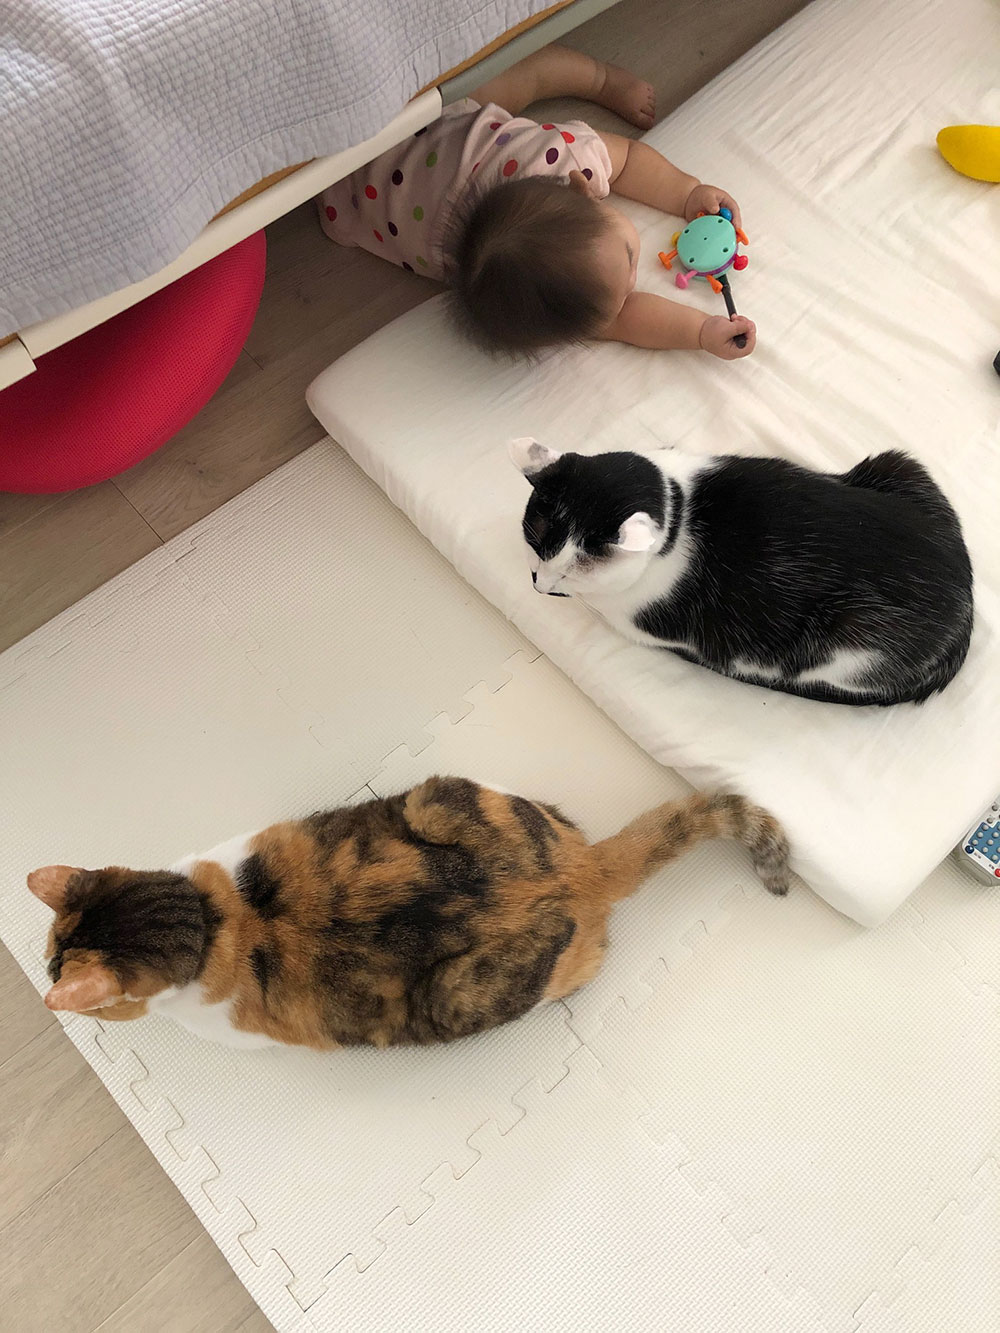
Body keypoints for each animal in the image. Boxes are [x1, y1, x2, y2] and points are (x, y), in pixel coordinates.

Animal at [30, 777, 788, 1051]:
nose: (43, 969)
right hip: (441, 795)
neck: (213, 921)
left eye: (50, 963)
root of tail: (583, 871)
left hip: (458, 994)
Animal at [509, 438, 974, 706]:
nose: (539, 585)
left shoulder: (642, 622)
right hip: (899, 464)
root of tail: (967, 605)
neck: (679, 505)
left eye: (572, 575)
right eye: (534, 543)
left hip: (850, 639)